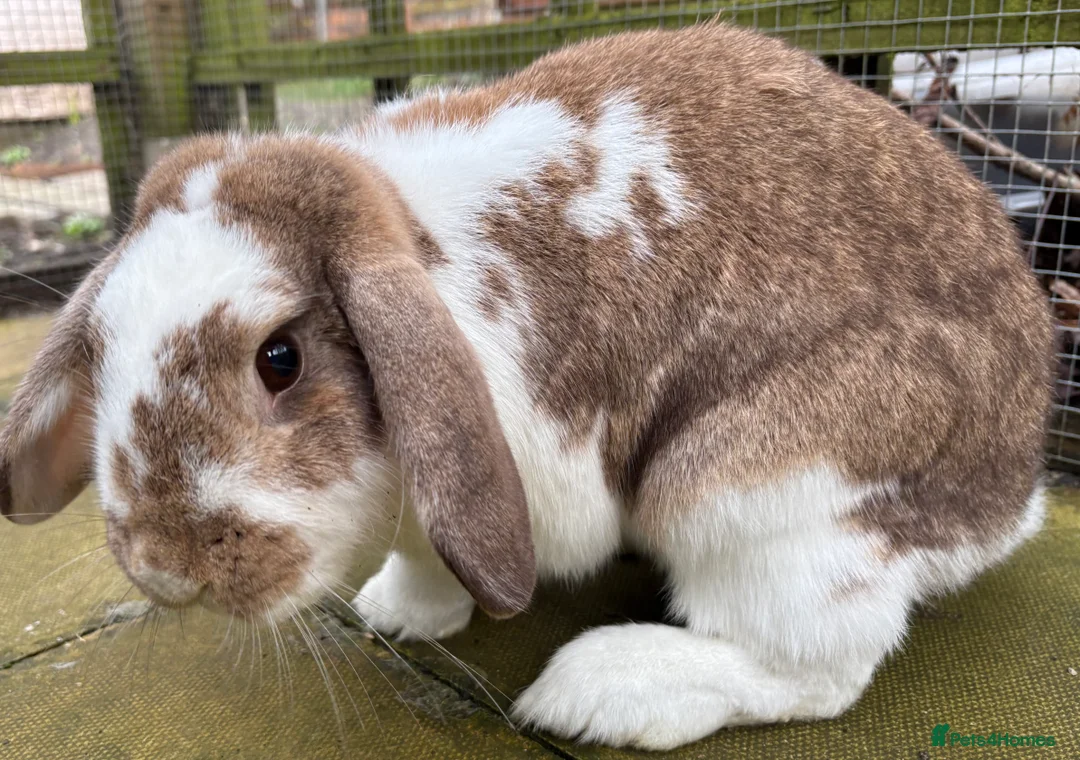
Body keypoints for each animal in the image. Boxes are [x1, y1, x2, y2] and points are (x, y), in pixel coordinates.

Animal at [0, 21, 1053, 751]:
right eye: (104, 344)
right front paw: (401, 612)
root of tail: (1011, 502)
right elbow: (428, 559)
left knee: (817, 669)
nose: (162, 568)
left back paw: (604, 692)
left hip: (765, 490)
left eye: (280, 358)